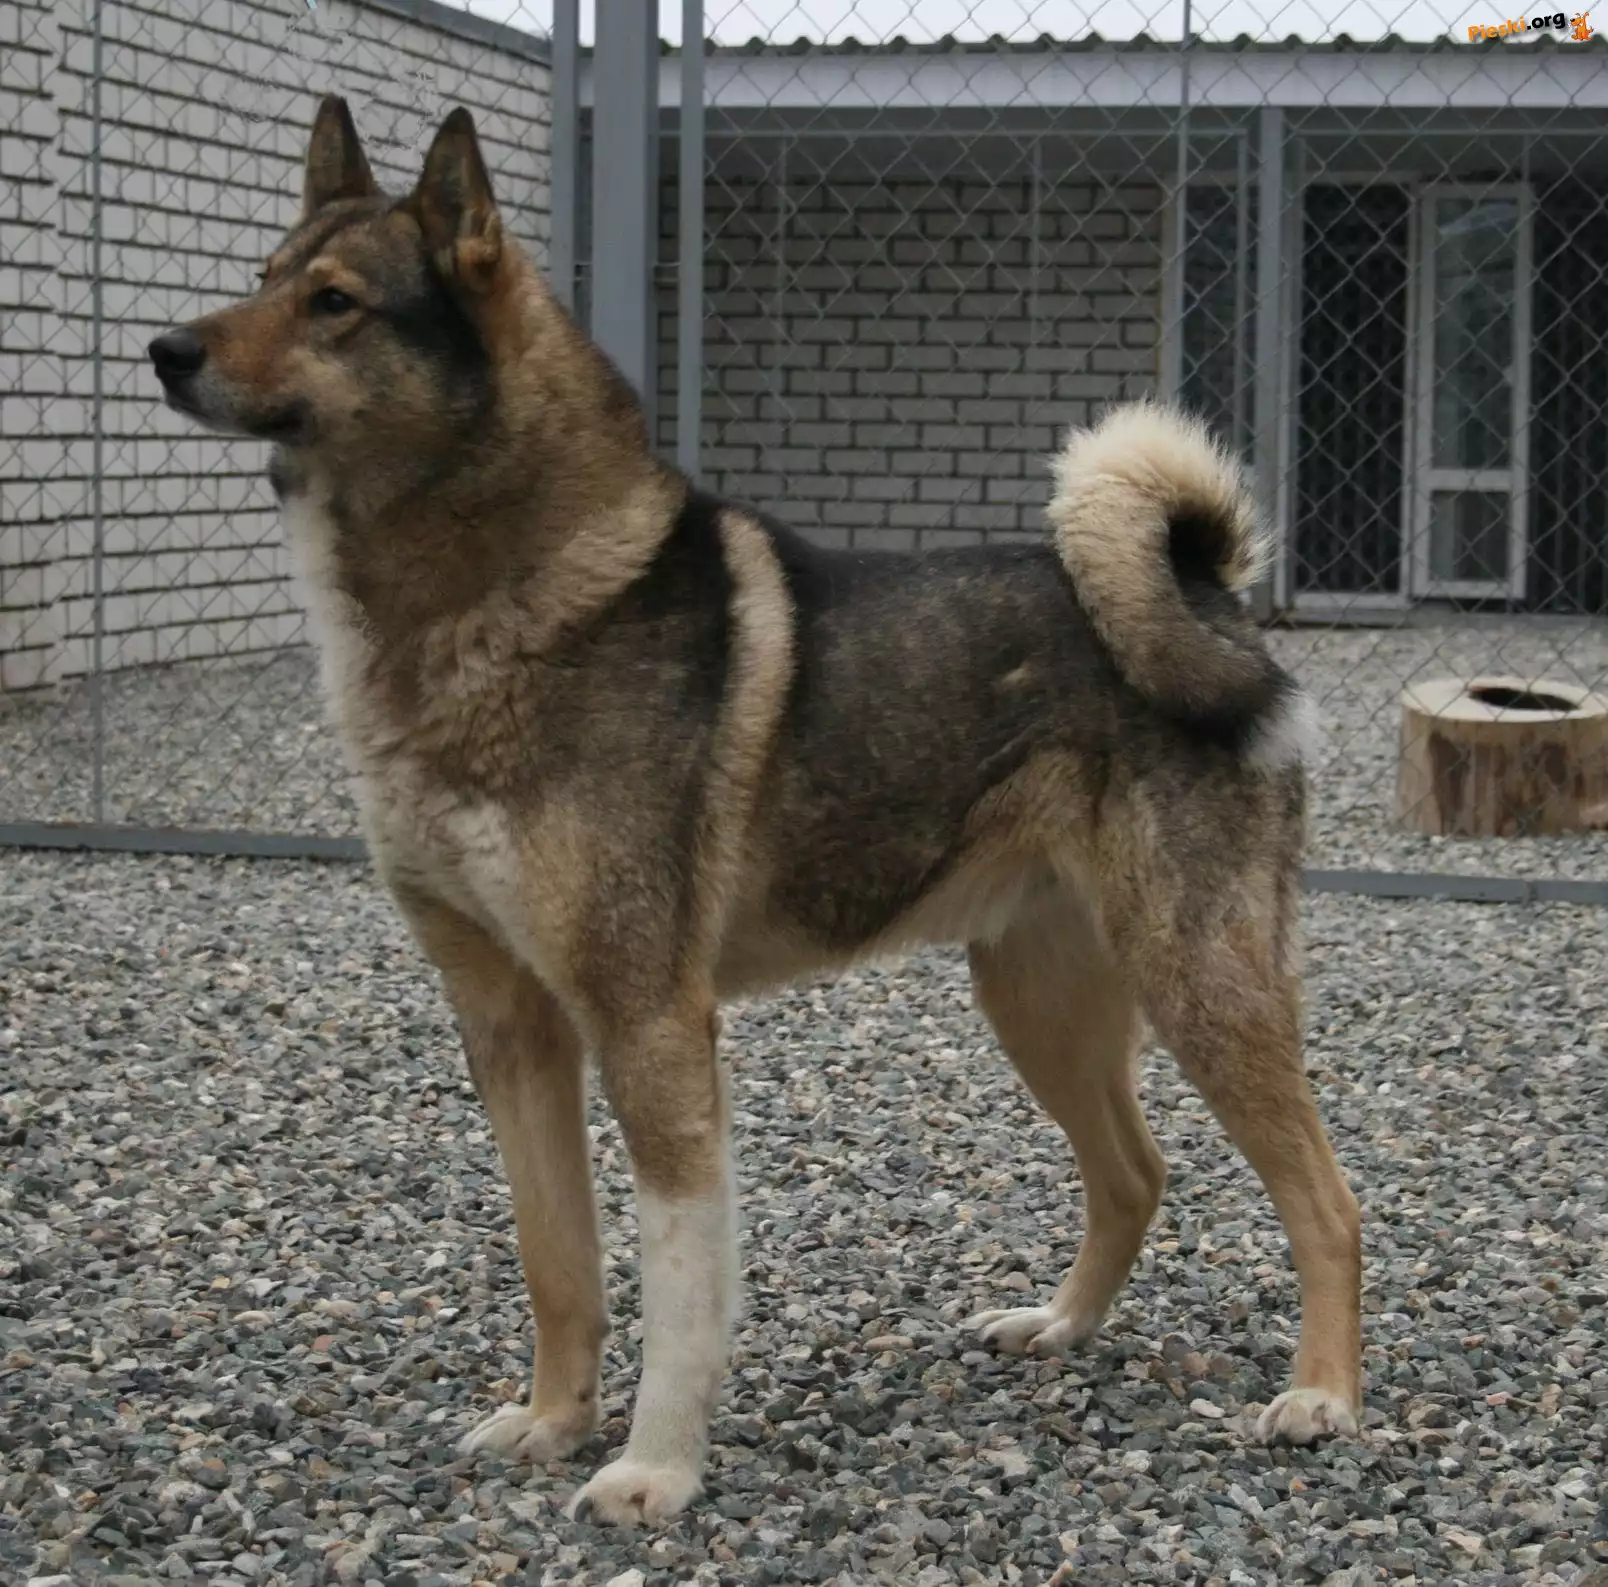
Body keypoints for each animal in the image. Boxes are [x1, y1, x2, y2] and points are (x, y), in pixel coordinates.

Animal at [147, 96, 1362, 1526]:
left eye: (335, 302)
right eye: (265, 276)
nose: (163, 351)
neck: (492, 607)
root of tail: (1210, 595)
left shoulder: (649, 1023)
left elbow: (679, 1287)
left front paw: (653, 1469)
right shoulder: (509, 1027)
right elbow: (558, 1260)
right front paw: (554, 1423)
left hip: (1200, 984)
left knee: (1328, 1202)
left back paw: (1323, 1397)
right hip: (1038, 998)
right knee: (1136, 1173)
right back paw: (1059, 1329)